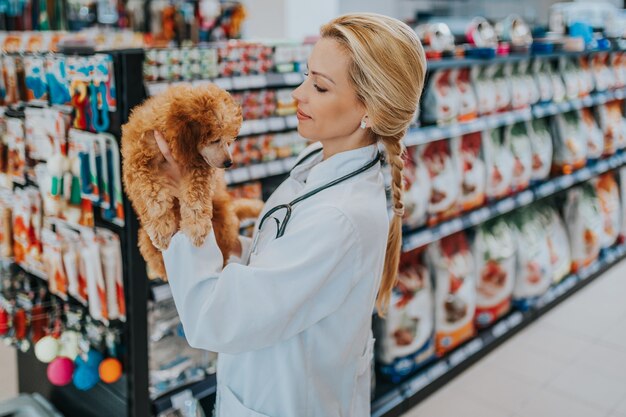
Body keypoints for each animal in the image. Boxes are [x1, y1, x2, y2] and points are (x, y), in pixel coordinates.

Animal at [120, 82, 262, 278]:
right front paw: (161, 228)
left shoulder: (199, 167)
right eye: (215, 140)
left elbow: (196, 195)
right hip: (144, 237)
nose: (229, 163)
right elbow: (150, 195)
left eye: (229, 141)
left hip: (223, 220)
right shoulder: (137, 164)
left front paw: (196, 227)